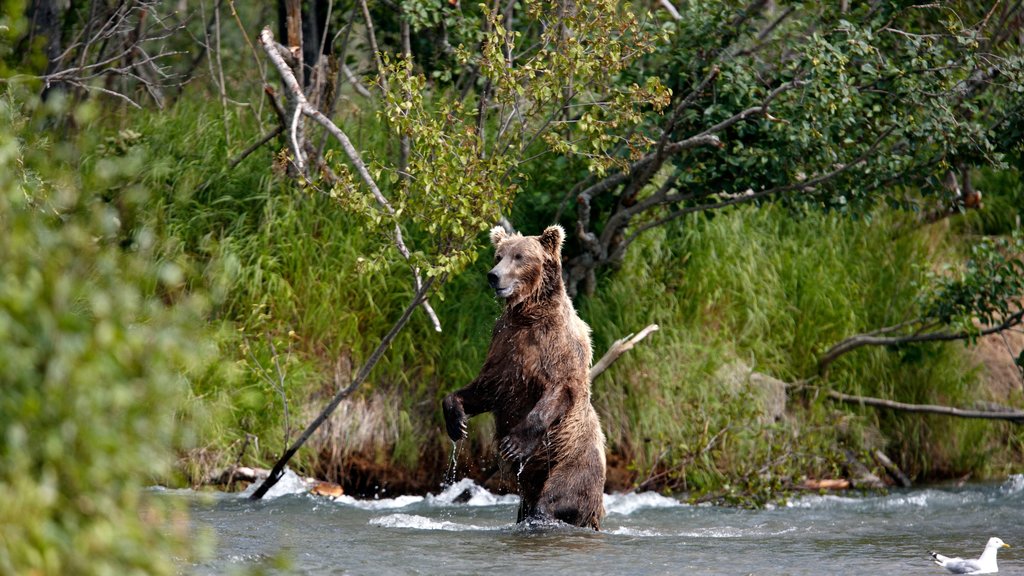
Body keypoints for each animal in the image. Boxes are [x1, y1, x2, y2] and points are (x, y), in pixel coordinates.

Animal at [442, 222, 606, 528]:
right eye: (498, 255)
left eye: (519, 257)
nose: (493, 276)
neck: (528, 315)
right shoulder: (504, 348)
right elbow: (484, 389)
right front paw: (457, 423)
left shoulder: (559, 348)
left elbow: (558, 390)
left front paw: (513, 444)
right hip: (531, 482)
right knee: (528, 505)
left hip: (571, 462)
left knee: (555, 499)